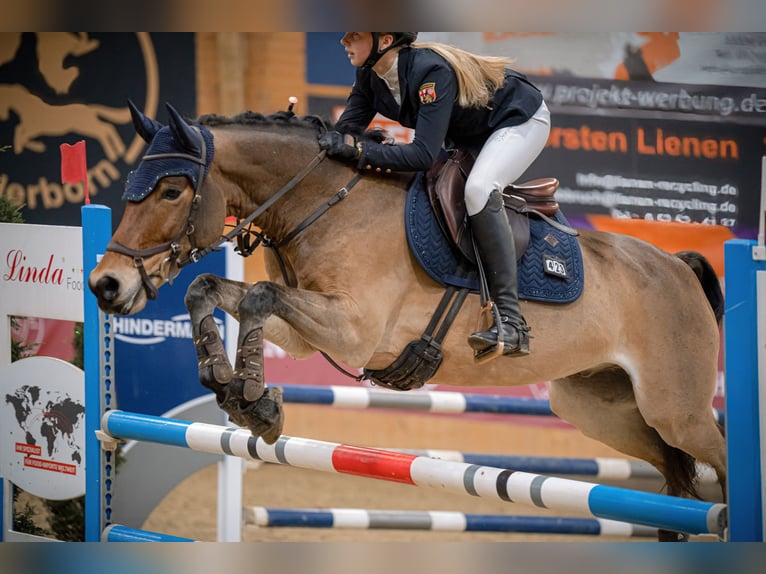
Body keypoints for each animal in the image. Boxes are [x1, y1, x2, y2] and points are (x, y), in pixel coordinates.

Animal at [88, 102, 727, 541]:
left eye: (171, 191)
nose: (105, 285)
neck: (322, 202)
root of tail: (678, 265)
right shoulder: (307, 330)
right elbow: (215, 290)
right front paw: (236, 389)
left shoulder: (353, 329)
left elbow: (258, 297)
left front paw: (251, 398)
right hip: (601, 407)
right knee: (675, 482)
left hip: (678, 410)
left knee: (717, 465)